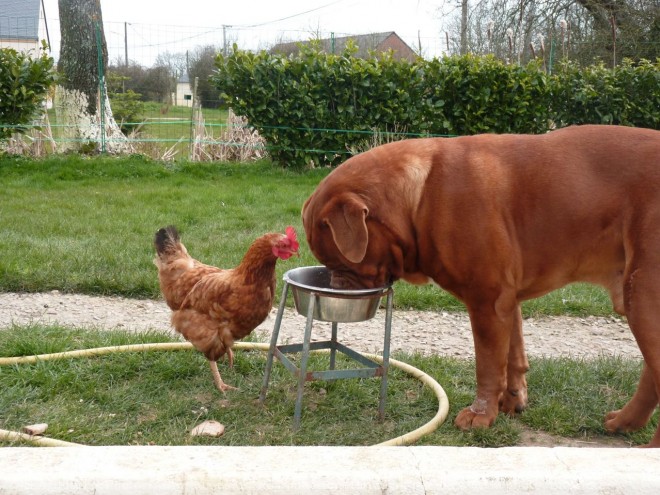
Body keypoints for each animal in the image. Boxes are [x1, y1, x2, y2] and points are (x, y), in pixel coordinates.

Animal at [302, 125, 660, 450]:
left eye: (338, 263)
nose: (334, 284)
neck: (420, 198)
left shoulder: (488, 301)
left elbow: (488, 364)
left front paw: (481, 414)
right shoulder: (508, 300)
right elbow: (513, 355)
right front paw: (512, 400)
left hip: (643, 298)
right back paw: (625, 421)